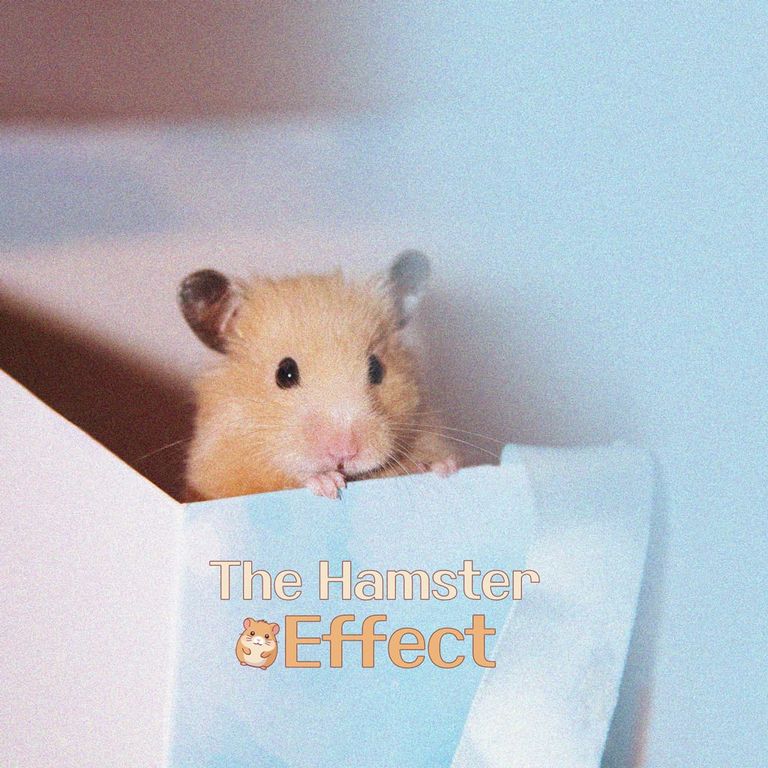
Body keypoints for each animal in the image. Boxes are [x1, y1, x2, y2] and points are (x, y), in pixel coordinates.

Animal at [179, 250, 458, 500]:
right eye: (285, 373)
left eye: (377, 368)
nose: (345, 453)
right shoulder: (219, 469)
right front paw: (328, 485)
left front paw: (442, 467)